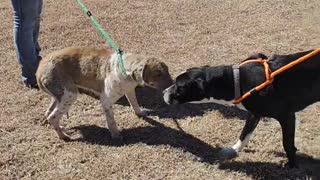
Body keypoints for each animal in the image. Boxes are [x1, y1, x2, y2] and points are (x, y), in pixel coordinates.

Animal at [36, 46, 172, 141]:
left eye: (167, 70)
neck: (123, 69)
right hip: (70, 95)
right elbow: (111, 120)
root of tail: (39, 70)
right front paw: (116, 135)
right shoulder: (106, 100)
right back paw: (63, 136)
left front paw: (140, 113)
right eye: (158, 74)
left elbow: (135, 103)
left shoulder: (129, 90)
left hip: (59, 96)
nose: (173, 84)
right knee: (52, 117)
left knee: (48, 112)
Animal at [164, 48, 318, 167]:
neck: (236, 81)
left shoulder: (286, 116)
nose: (163, 92)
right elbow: (245, 133)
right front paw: (234, 150)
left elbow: (287, 144)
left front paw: (291, 164)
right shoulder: (254, 113)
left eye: (178, 87)